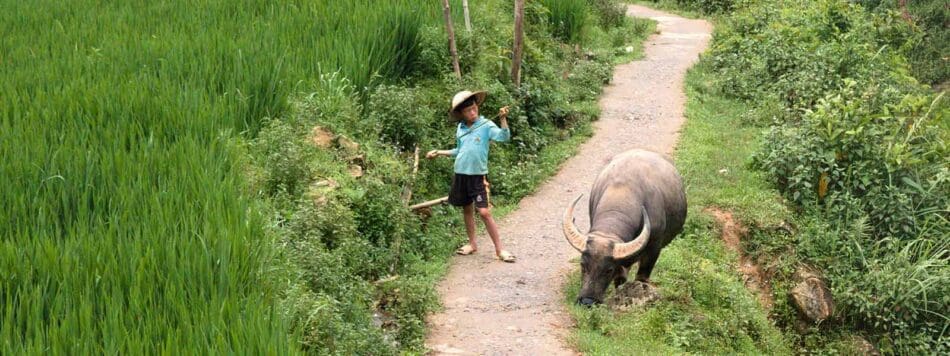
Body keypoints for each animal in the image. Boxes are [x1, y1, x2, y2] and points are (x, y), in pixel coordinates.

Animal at [560, 149, 688, 306]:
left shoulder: (653, 250)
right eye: (582, 264)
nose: (587, 301)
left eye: (608, 270)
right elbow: (620, 280)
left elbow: (642, 278)